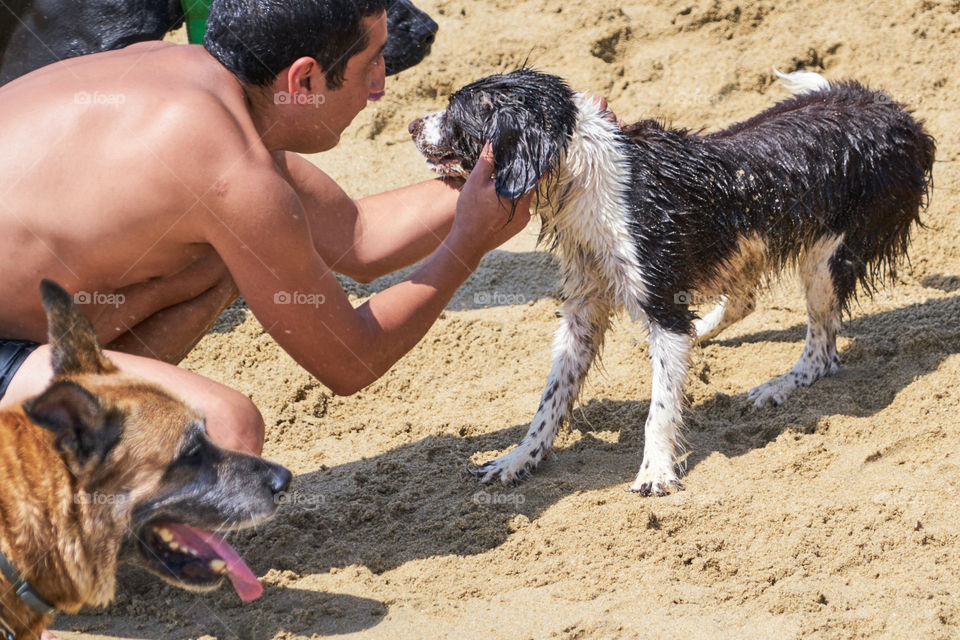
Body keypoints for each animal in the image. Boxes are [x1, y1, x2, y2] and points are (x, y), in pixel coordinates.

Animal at [408, 66, 932, 496]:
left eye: (455, 109)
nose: (412, 124)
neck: (583, 178)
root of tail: (897, 113)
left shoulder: (661, 303)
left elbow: (658, 409)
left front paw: (655, 472)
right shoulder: (583, 309)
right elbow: (551, 400)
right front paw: (517, 461)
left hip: (826, 256)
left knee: (822, 352)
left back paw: (779, 385)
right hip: (747, 243)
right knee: (744, 303)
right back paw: (709, 338)